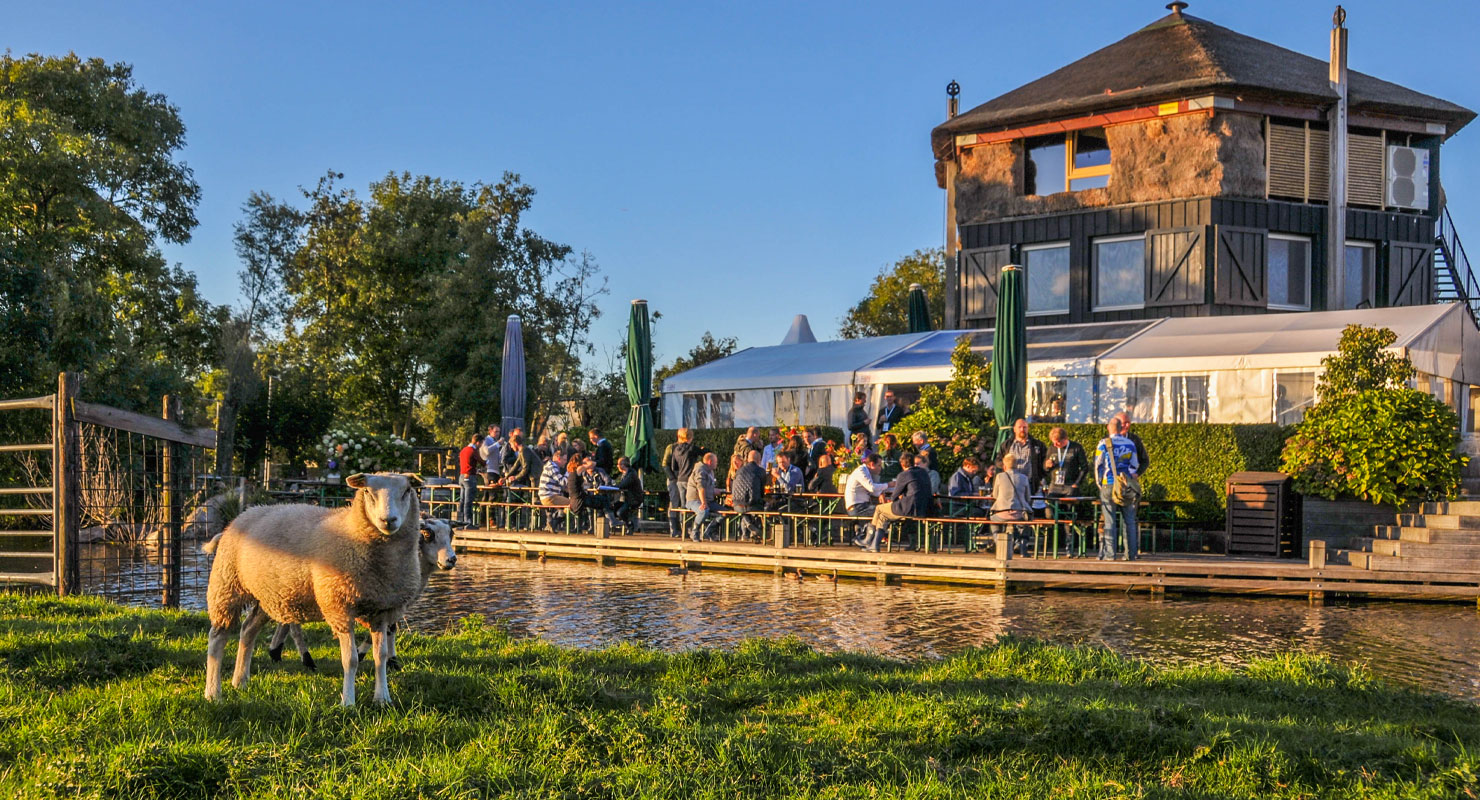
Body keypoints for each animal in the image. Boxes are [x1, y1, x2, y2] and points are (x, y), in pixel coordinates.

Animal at [201, 470, 429, 700]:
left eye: (407, 491)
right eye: (367, 491)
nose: (388, 520)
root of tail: (242, 516)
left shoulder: (382, 610)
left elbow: (380, 656)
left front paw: (382, 698)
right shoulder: (339, 607)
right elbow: (351, 660)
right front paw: (348, 701)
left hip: (266, 597)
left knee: (248, 630)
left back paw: (240, 681)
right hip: (227, 587)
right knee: (217, 637)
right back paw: (213, 692)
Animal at [263, 514, 452, 671]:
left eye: (451, 534)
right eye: (427, 534)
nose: (452, 559)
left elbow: (390, 628)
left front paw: (390, 661)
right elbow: (389, 629)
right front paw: (379, 659)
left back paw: (277, 652)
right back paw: (305, 658)